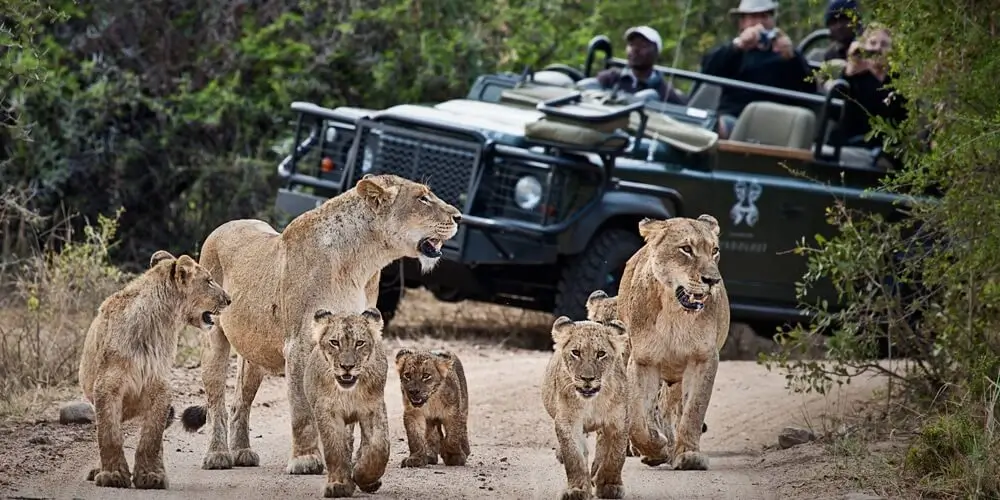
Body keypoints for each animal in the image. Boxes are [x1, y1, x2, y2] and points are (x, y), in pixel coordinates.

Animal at [78, 250, 231, 489]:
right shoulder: (107, 386)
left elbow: (151, 438)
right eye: (208, 281)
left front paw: (151, 475)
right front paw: (112, 475)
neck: (161, 323)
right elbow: (109, 435)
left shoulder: (160, 386)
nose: (229, 299)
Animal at [179, 174, 461, 475]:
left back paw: (243, 452)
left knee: (240, 401)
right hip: (214, 339)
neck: (362, 262)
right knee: (216, 400)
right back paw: (217, 455)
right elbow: (302, 408)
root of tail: (223, 226)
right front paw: (305, 460)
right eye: (422, 198)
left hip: (254, 352)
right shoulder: (300, 343)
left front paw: (346, 458)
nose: (458, 217)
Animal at [304, 308, 390, 498]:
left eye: (360, 343)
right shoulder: (327, 411)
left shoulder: (373, 408)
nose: (347, 366)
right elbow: (335, 449)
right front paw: (340, 484)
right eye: (334, 342)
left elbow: (379, 447)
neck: (348, 392)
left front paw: (362, 475)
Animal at [542, 316, 630, 500]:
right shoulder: (567, 421)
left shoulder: (619, 421)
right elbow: (574, 456)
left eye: (601, 354)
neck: (592, 402)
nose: (587, 379)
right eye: (576, 352)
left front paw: (610, 485)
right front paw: (578, 490)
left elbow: (615, 455)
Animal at [616, 214, 729, 471]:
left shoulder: (703, 359)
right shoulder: (643, 361)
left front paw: (688, 455)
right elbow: (637, 419)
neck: (675, 312)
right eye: (686, 249)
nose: (712, 280)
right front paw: (655, 448)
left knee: (671, 406)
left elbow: (694, 410)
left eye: (714, 250)